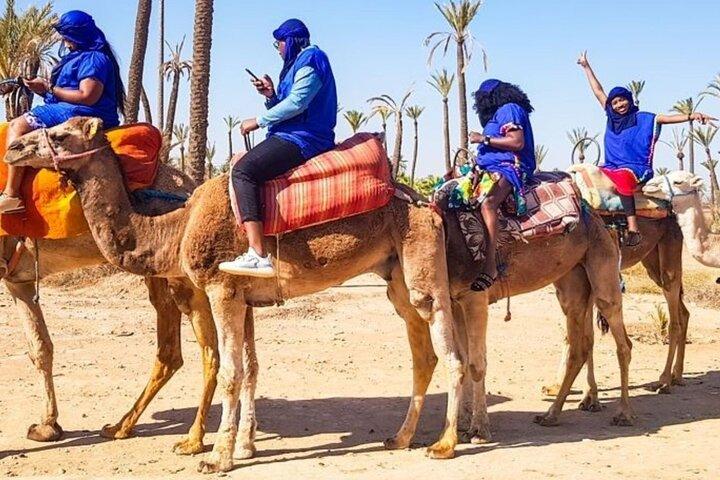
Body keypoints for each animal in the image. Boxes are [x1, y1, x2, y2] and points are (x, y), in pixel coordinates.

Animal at [0, 163, 222, 455]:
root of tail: (191, 187)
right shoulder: (18, 281)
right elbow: (40, 348)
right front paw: (47, 427)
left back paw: (195, 441)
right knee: (172, 349)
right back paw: (121, 427)